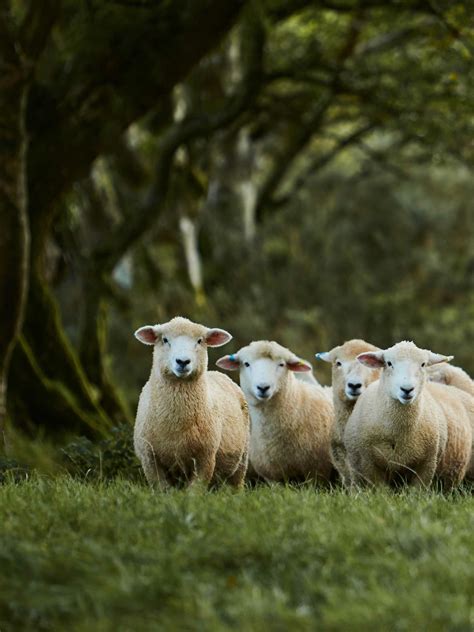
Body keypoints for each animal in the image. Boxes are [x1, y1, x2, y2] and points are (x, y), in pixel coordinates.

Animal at [133, 316, 250, 488]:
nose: (183, 361)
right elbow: (162, 488)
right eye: (165, 339)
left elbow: (195, 491)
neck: (176, 425)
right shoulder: (149, 460)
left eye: (200, 341)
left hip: (242, 460)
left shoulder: (205, 459)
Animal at [342, 340, 472, 488]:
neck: (398, 433)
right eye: (389, 363)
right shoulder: (369, 464)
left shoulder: (427, 465)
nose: (407, 389)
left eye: (423, 364)